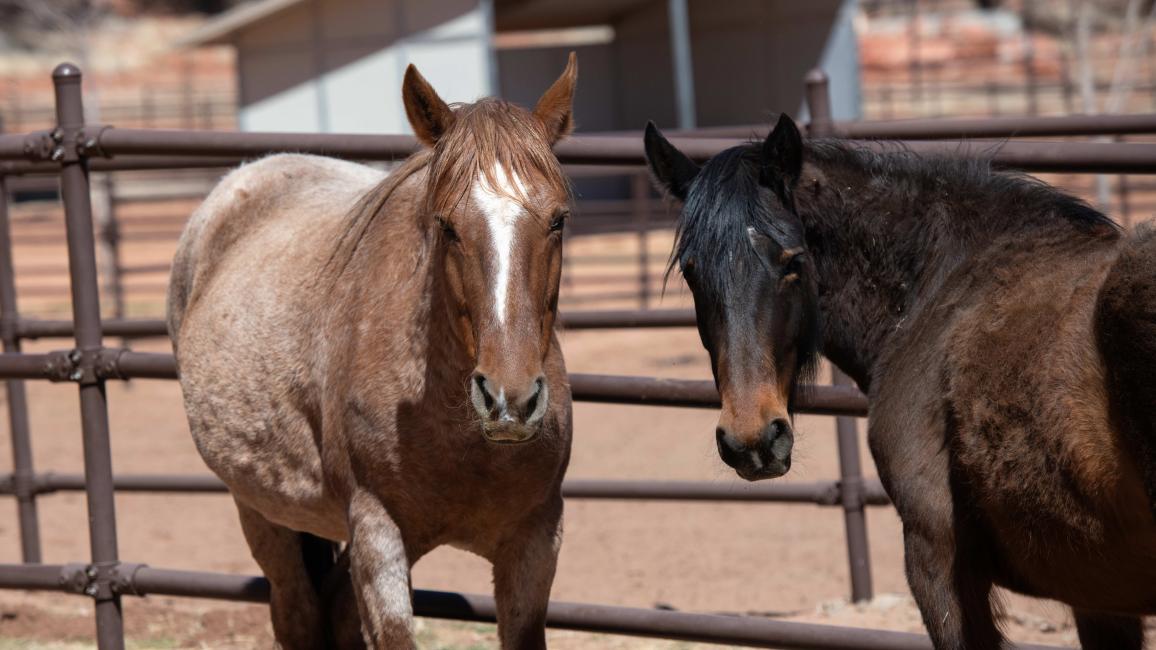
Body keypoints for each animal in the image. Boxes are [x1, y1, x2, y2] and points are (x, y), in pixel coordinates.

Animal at [167, 55, 579, 649]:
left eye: (558, 219)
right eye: (447, 225)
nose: (510, 400)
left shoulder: (535, 541)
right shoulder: (376, 533)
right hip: (263, 514)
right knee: (298, 614)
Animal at [644, 114, 1156, 649]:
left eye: (791, 263)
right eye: (692, 273)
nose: (752, 440)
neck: (936, 288)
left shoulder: (938, 560)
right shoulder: (1095, 591)